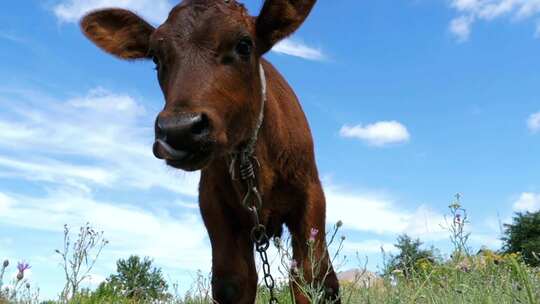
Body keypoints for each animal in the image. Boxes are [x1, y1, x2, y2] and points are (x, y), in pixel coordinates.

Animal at [80, 1, 340, 302]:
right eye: (155, 58)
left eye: (244, 45)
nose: (179, 130)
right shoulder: (213, 206)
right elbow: (233, 282)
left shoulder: (310, 195)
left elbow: (314, 279)